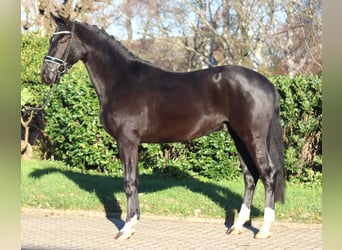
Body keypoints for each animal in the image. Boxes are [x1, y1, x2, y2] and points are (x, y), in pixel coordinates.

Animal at [41, 14, 284, 240]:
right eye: (52, 39)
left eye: (63, 40)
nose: (46, 75)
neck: (121, 80)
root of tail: (267, 84)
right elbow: (134, 180)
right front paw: (133, 223)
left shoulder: (127, 140)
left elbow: (129, 182)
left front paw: (126, 228)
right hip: (238, 136)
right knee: (250, 176)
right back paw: (237, 226)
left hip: (251, 136)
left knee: (268, 173)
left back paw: (264, 229)